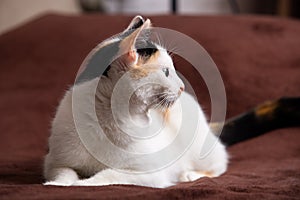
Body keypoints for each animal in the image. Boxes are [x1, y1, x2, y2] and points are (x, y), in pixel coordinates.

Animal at [44, 15, 227, 188]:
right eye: (166, 72)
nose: (182, 86)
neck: (109, 119)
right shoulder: (54, 162)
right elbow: (65, 172)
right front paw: (57, 184)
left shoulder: (149, 173)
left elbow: (109, 175)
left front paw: (83, 183)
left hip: (201, 151)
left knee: (220, 162)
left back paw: (189, 175)